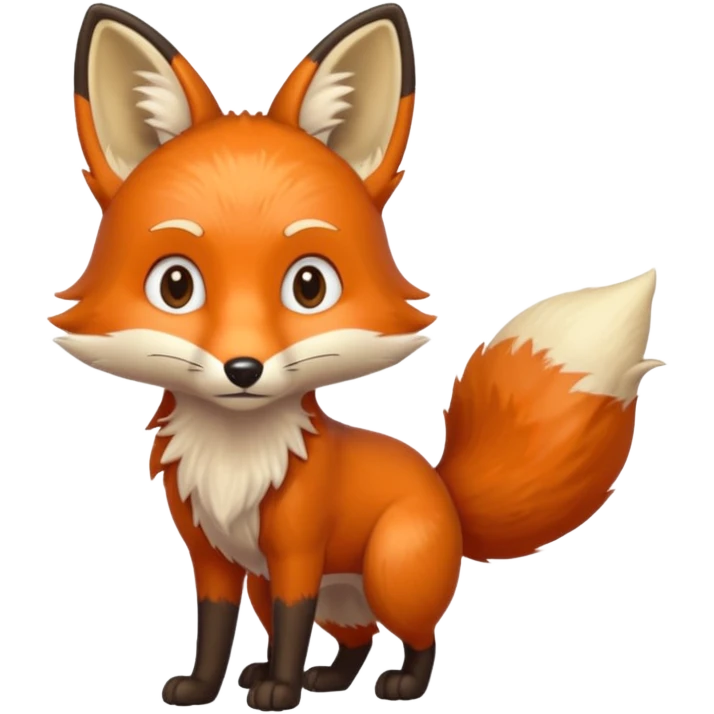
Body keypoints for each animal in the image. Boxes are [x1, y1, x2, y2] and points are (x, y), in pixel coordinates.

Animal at [51, 2, 665, 710]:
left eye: (309, 286)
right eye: (176, 286)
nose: (243, 370)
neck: (236, 458)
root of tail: (441, 487)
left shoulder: (296, 552)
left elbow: (292, 625)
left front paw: (280, 690)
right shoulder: (214, 557)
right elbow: (214, 628)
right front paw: (206, 687)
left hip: (390, 572)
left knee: (419, 636)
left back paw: (397, 685)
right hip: (310, 590)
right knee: (354, 638)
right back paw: (327, 679)